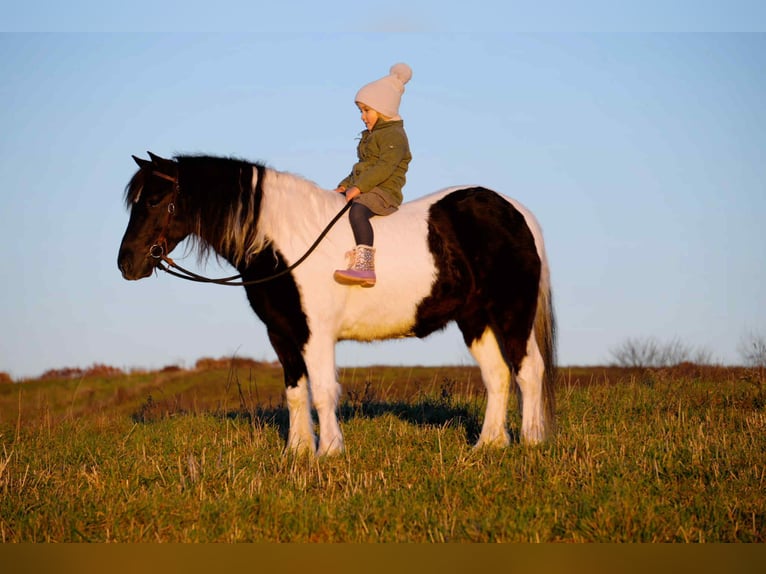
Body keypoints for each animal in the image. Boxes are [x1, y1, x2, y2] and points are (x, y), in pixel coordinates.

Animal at [118, 152, 556, 456]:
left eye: (154, 201)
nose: (126, 263)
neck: (285, 241)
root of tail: (515, 211)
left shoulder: (316, 334)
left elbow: (324, 390)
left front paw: (329, 451)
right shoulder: (282, 334)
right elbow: (296, 392)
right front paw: (297, 452)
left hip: (511, 311)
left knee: (528, 370)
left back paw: (532, 441)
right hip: (475, 319)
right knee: (497, 375)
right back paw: (488, 445)